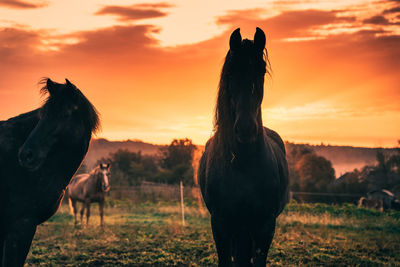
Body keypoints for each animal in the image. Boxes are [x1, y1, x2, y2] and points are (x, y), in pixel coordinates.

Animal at [198, 28, 290, 266]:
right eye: (231, 72)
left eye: (262, 70)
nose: (246, 128)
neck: (244, 164)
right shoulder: (221, 224)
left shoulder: (265, 226)